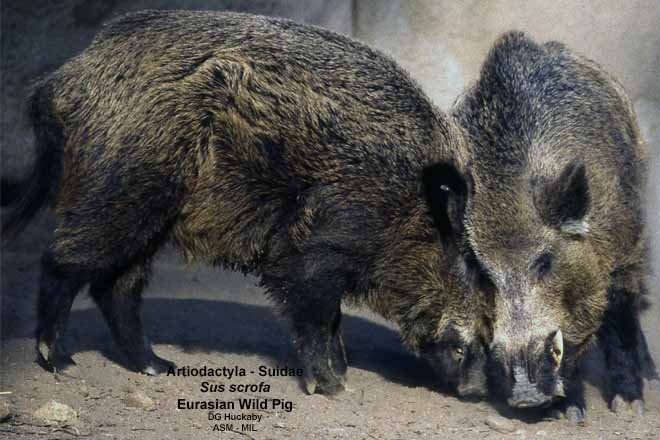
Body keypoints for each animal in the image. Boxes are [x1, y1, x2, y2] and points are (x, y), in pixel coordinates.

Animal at [2, 10, 490, 397]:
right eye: (465, 258)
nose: (476, 391)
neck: (403, 205)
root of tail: (58, 83)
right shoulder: (317, 244)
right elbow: (318, 314)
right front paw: (333, 387)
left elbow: (332, 319)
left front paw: (343, 376)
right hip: (121, 191)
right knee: (63, 262)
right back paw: (61, 362)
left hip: (151, 215)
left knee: (117, 286)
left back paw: (160, 367)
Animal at [452, 31, 658, 421]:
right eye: (483, 274)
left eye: (544, 262)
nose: (525, 395)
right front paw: (567, 413)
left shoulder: (619, 250)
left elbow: (618, 321)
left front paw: (628, 407)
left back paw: (651, 378)